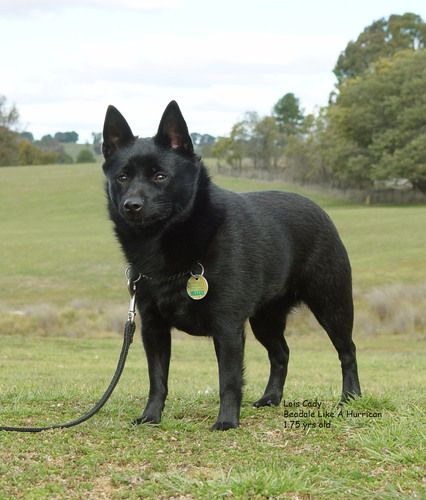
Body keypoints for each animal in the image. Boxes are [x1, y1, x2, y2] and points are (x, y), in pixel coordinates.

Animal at [101, 101, 361, 430]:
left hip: (332, 306)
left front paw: (226, 421)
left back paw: (351, 397)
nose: (132, 206)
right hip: (265, 320)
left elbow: (229, 378)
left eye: (160, 176)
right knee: (281, 354)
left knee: (347, 351)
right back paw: (270, 398)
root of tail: (321, 211)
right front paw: (150, 416)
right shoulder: (153, 327)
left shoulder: (227, 328)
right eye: (122, 177)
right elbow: (157, 378)